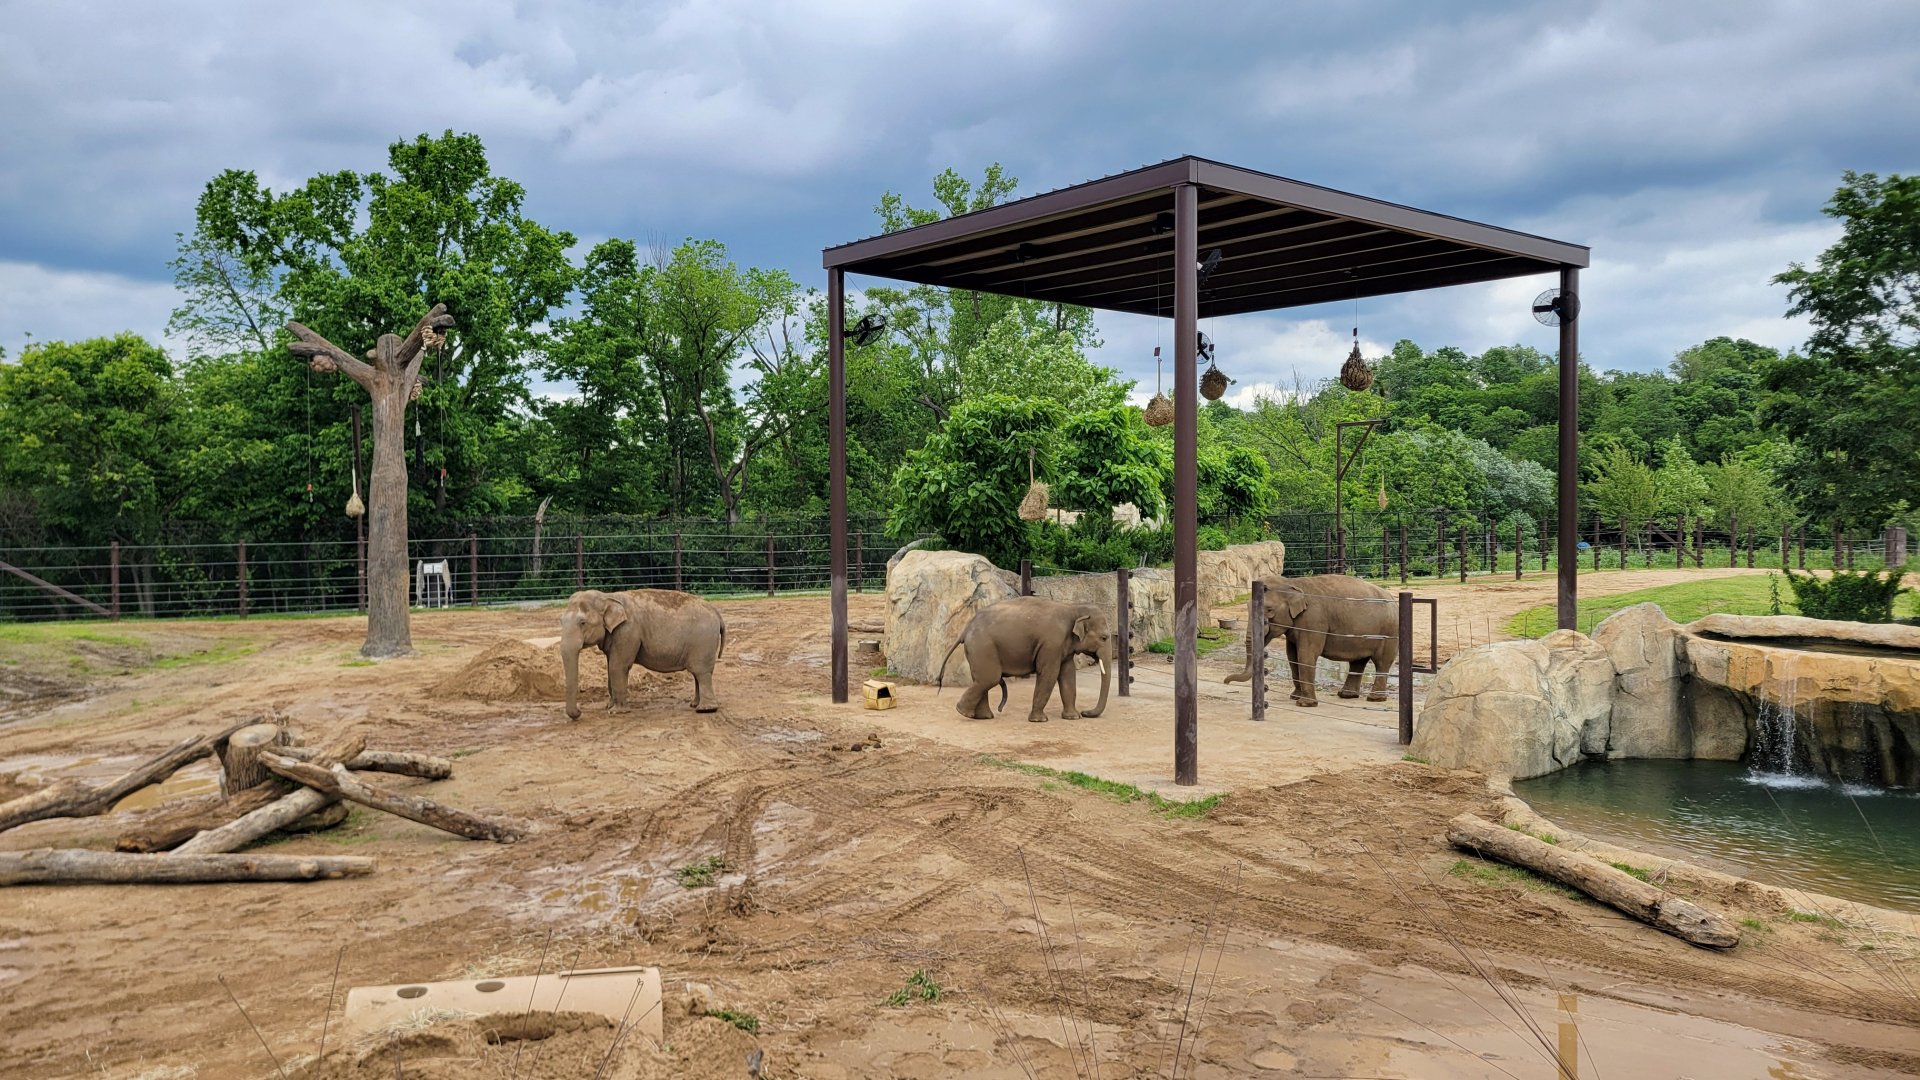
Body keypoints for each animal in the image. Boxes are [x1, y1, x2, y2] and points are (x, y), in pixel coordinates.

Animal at [559, 589, 725, 719]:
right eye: (561, 621)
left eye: (582, 623)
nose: (579, 712)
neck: (608, 596)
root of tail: (717, 612)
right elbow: (610, 666)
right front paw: (608, 706)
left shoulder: (627, 631)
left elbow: (617, 666)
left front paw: (616, 712)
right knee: (697, 673)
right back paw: (694, 704)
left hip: (703, 641)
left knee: (701, 672)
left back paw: (705, 709)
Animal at [936, 596, 1114, 722]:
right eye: (1104, 638)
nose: (1086, 712)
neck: (1073, 608)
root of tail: (965, 629)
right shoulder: (1051, 644)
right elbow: (1049, 674)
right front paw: (1040, 720)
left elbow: (1068, 675)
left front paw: (1073, 717)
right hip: (982, 646)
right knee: (989, 678)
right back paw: (963, 712)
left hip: (977, 650)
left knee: (981, 679)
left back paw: (982, 717)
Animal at [1224, 573, 1397, 707]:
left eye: (1269, 610)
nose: (1226, 682)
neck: (1292, 583)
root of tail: (1392, 598)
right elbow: (1292, 656)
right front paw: (1294, 696)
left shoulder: (1313, 620)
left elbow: (1306, 654)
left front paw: (1304, 704)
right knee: (1358, 661)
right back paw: (1346, 695)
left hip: (1388, 632)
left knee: (1382, 662)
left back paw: (1375, 699)